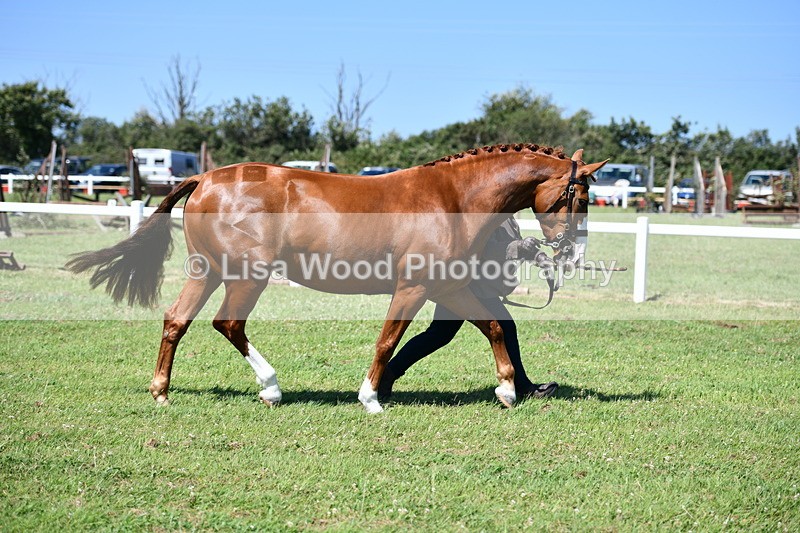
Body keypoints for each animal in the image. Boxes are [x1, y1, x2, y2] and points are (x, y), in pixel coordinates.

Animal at [66, 144, 605, 413]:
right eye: (579, 196)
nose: (573, 253)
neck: (453, 197)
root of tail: (205, 179)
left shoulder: (450, 287)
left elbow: (493, 326)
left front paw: (509, 391)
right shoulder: (413, 288)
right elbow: (388, 340)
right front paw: (370, 398)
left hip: (209, 271)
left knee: (176, 320)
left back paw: (161, 392)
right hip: (246, 275)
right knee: (228, 324)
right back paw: (271, 388)